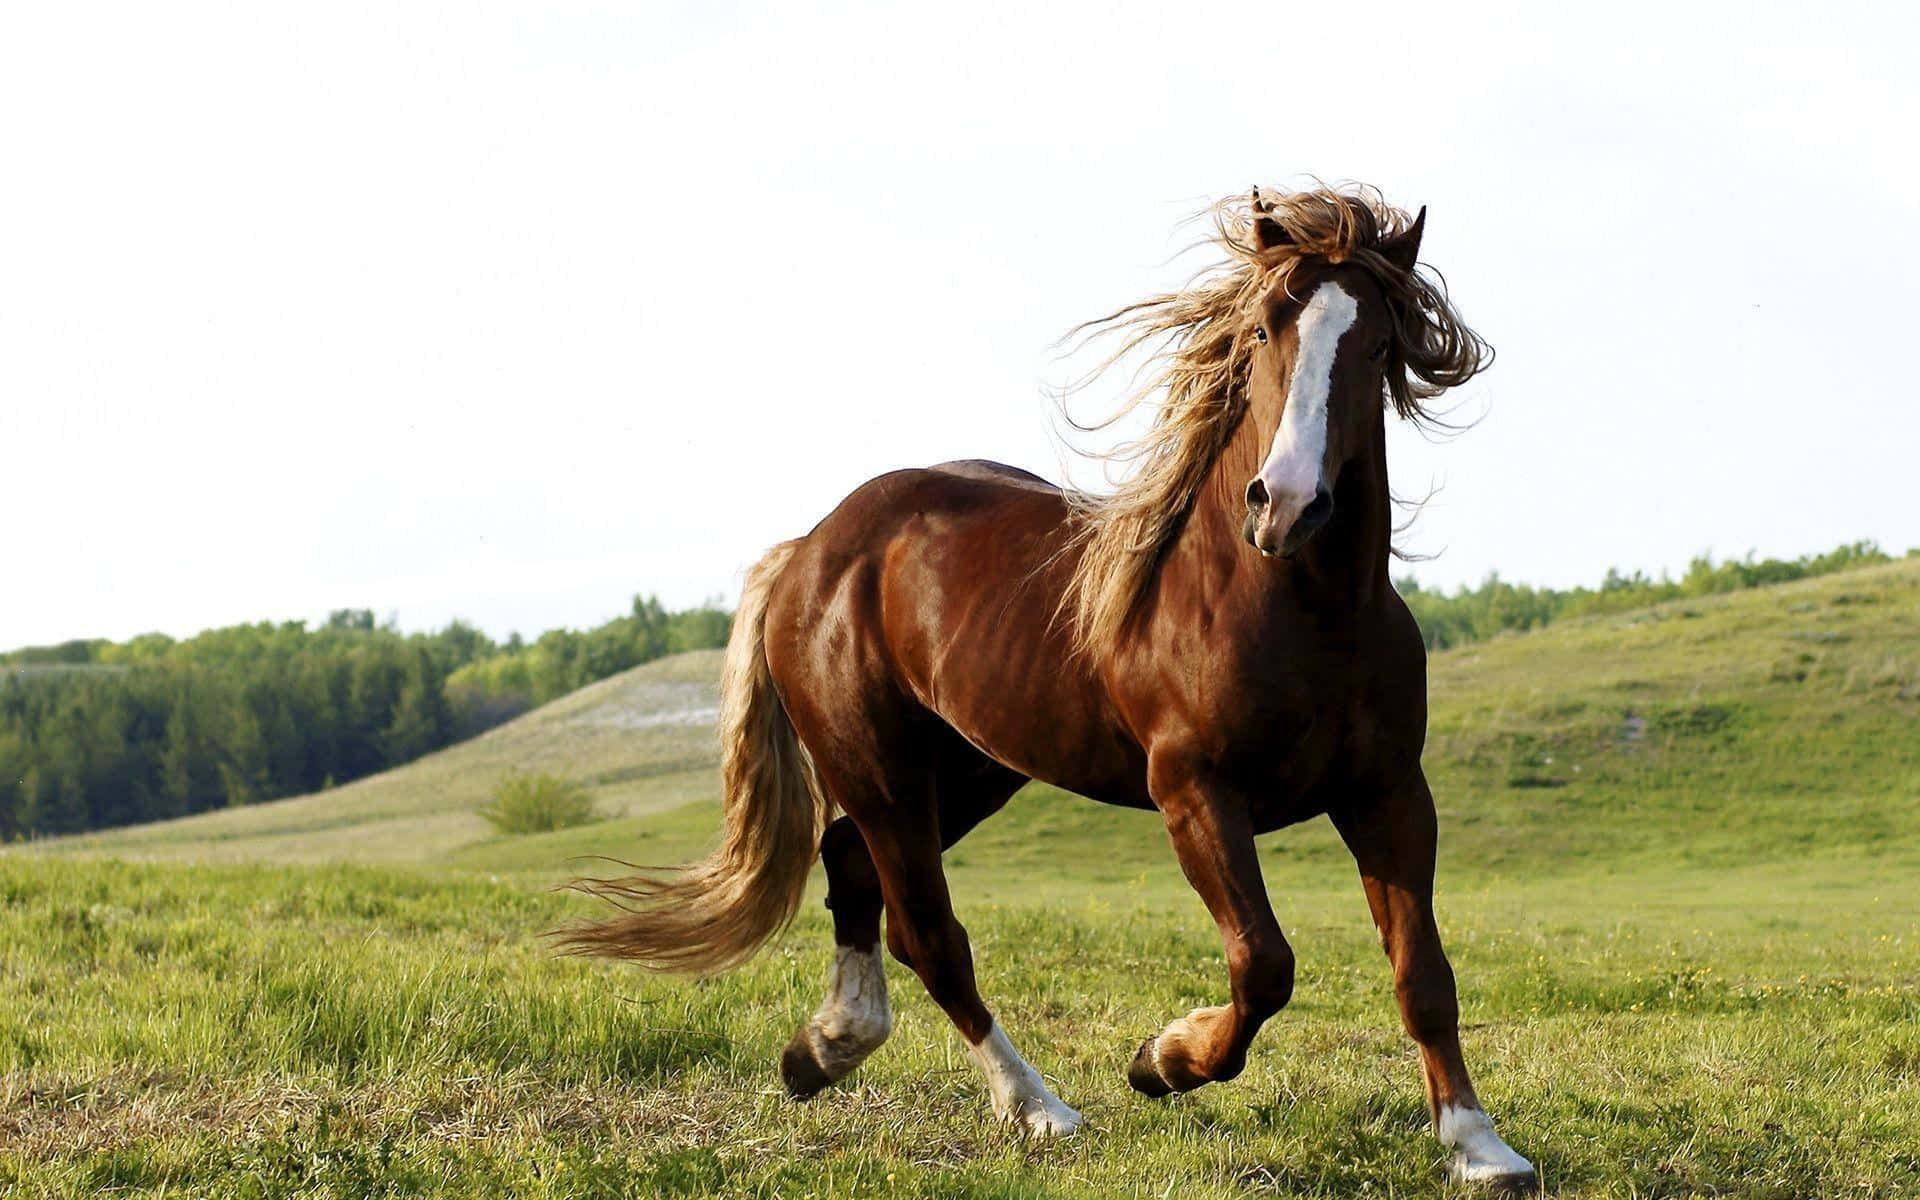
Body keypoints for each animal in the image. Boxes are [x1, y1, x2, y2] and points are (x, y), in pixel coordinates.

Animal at [561, 184, 1538, 1191]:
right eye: (1266, 327)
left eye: (1379, 344)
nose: (1288, 505)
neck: (1296, 606)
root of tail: (812, 549)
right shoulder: (1194, 791)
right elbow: (1263, 964)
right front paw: (1162, 1061)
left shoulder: (1389, 793)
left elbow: (1423, 975)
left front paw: (1480, 1146)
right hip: (883, 773)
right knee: (930, 935)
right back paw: (1038, 1109)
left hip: (968, 773)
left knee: (852, 867)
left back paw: (824, 1049)